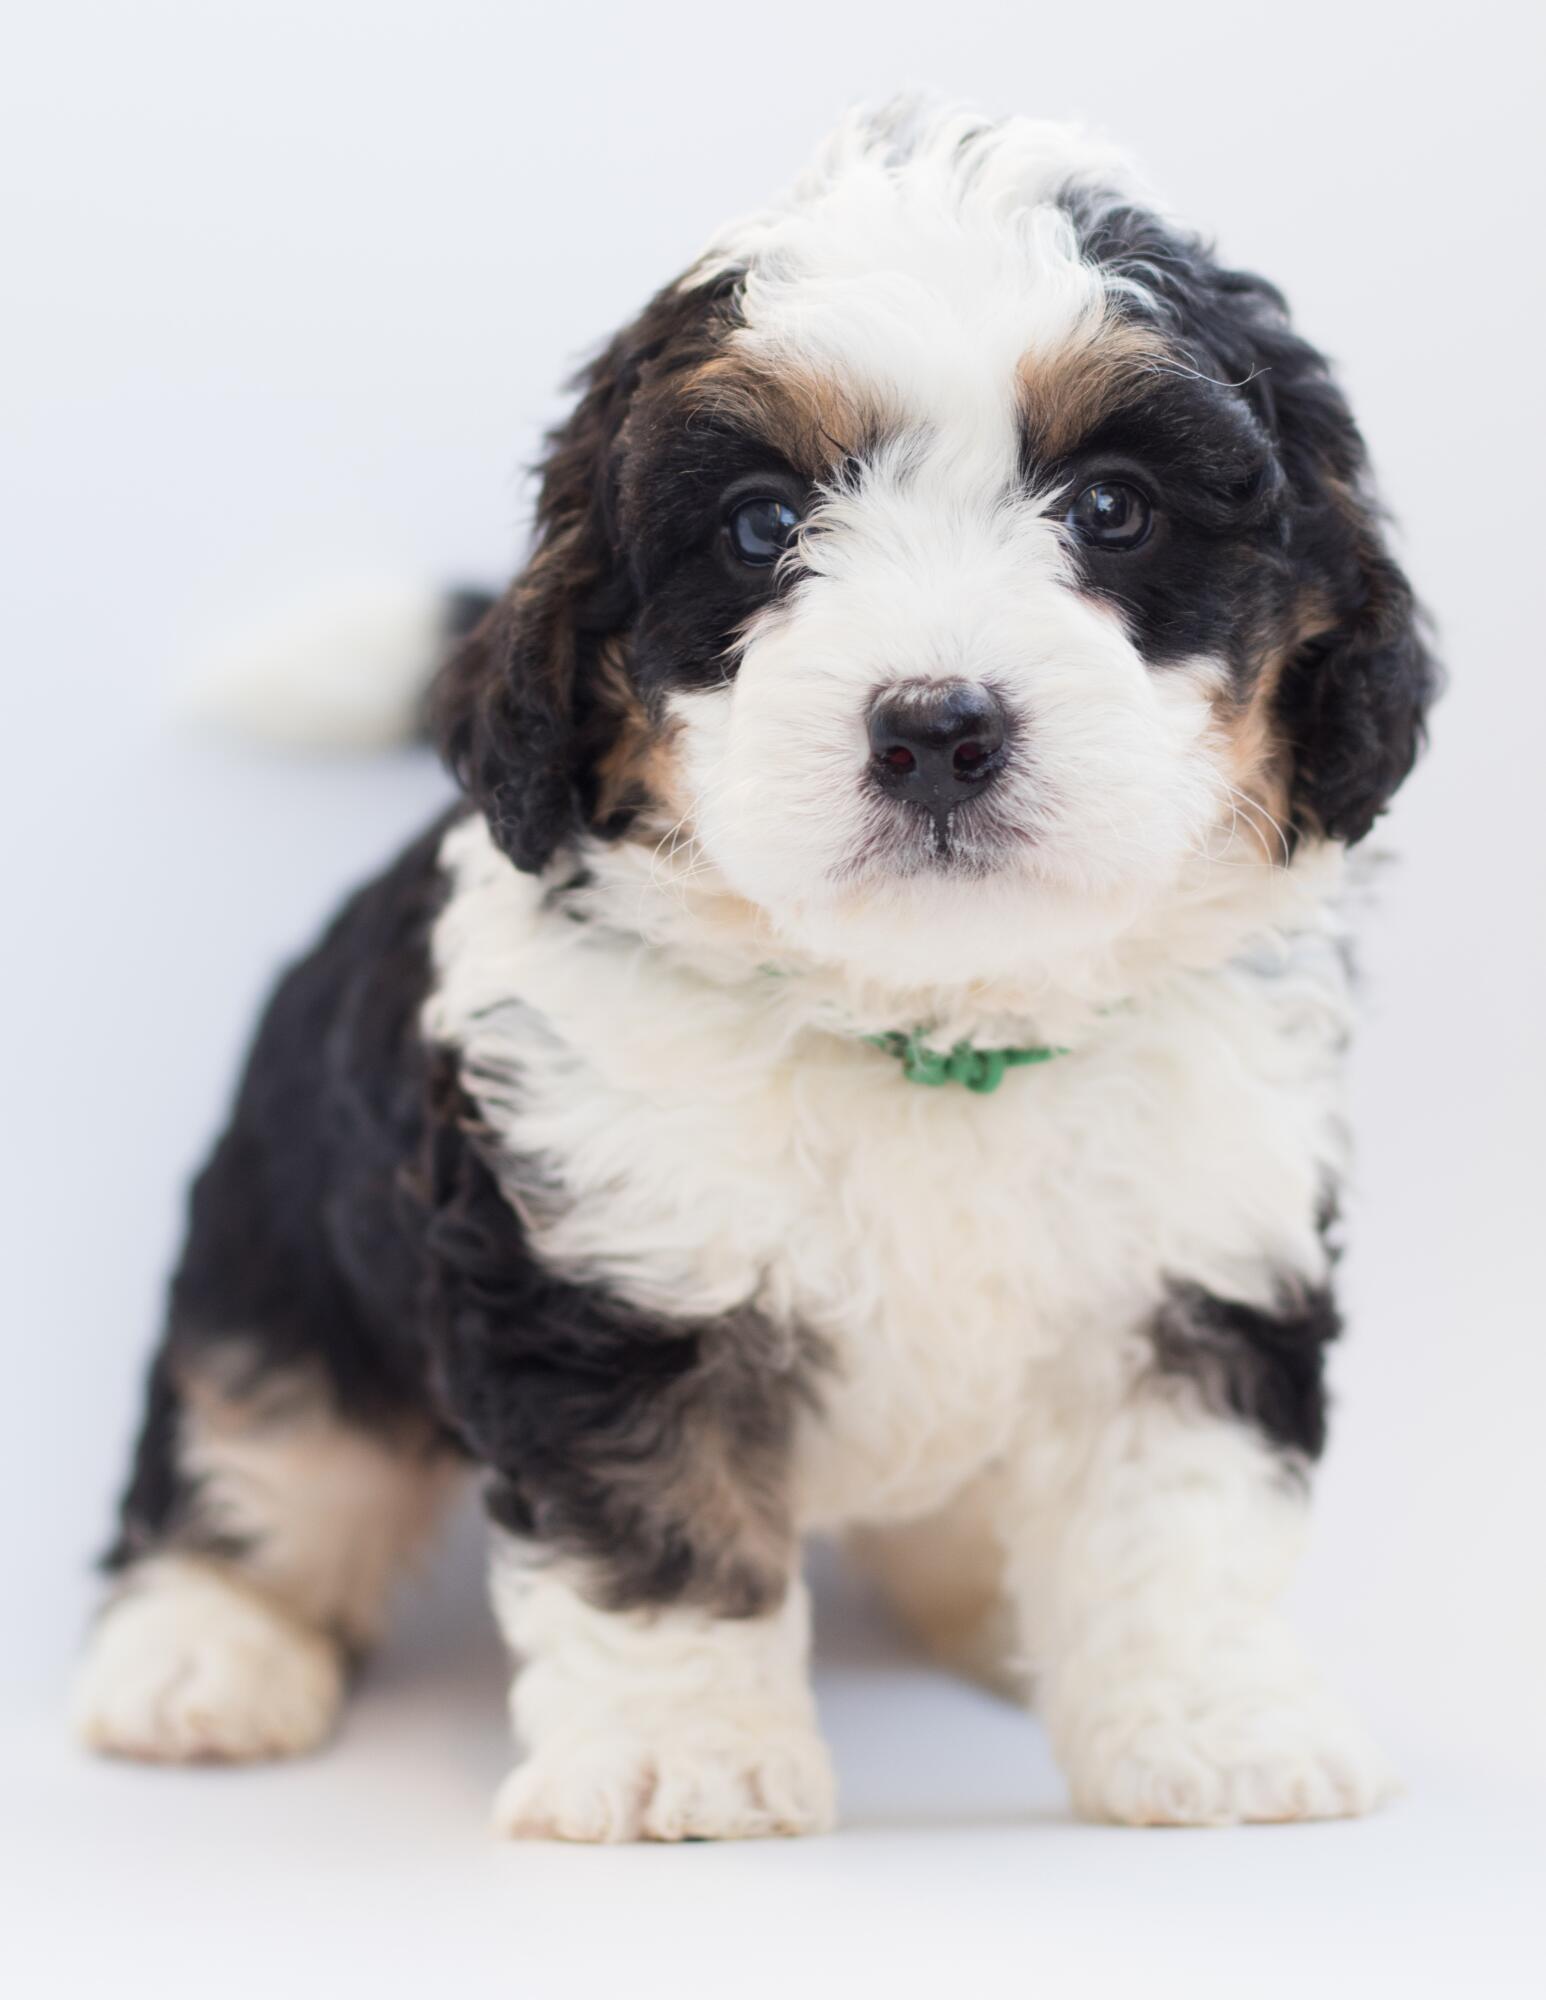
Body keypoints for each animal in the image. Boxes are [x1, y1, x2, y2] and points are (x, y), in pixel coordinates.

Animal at [72, 101, 1432, 1832]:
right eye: (764, 526)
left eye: (1114, 508)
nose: (936, 728)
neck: (929, 1023)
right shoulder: (600, 1272)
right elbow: (657, 1528)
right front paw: (682, 1761)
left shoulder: (1198, 1267)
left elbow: (1180, 1520)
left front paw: (1212, 1728)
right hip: (286, 1250)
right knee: (259, 1446)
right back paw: (201, 1653)